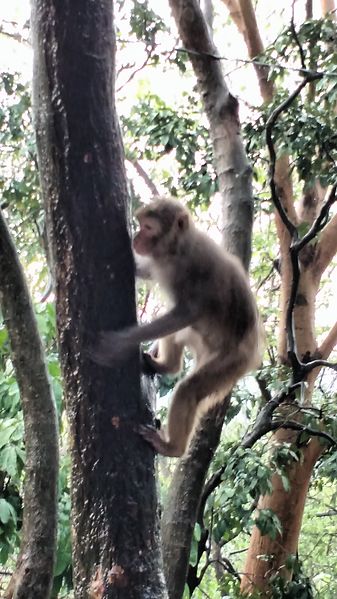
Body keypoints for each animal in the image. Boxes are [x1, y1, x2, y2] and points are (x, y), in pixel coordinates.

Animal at [88, 199, 260, 458]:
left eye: (148, 227)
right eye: (140, 224)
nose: (136, 237)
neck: (176, 249)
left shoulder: (195, 269)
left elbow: (186, 314)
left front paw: (120, 343)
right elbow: (149, 275)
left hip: (231, 361)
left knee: (189, 389)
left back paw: (173, 448)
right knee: (177, 333)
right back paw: (167, 366)